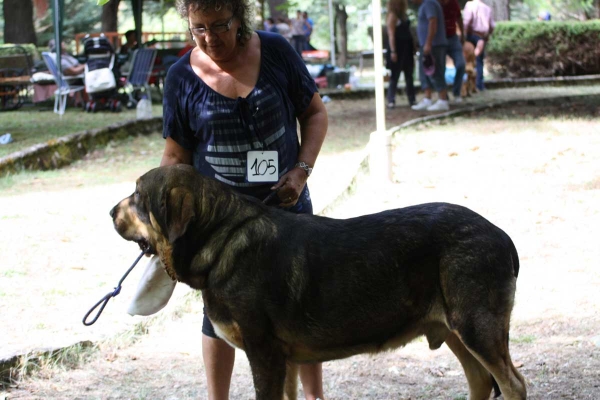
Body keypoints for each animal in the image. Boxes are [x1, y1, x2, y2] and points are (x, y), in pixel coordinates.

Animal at [111, 164, 524, 398]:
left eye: (137, 196)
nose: (111, 211)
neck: (222, 237)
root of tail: (502, 235)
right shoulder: (284, 359)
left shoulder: (264, 353)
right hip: (455, 331)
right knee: (481, 382)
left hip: (476, 328)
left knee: (512, 384)